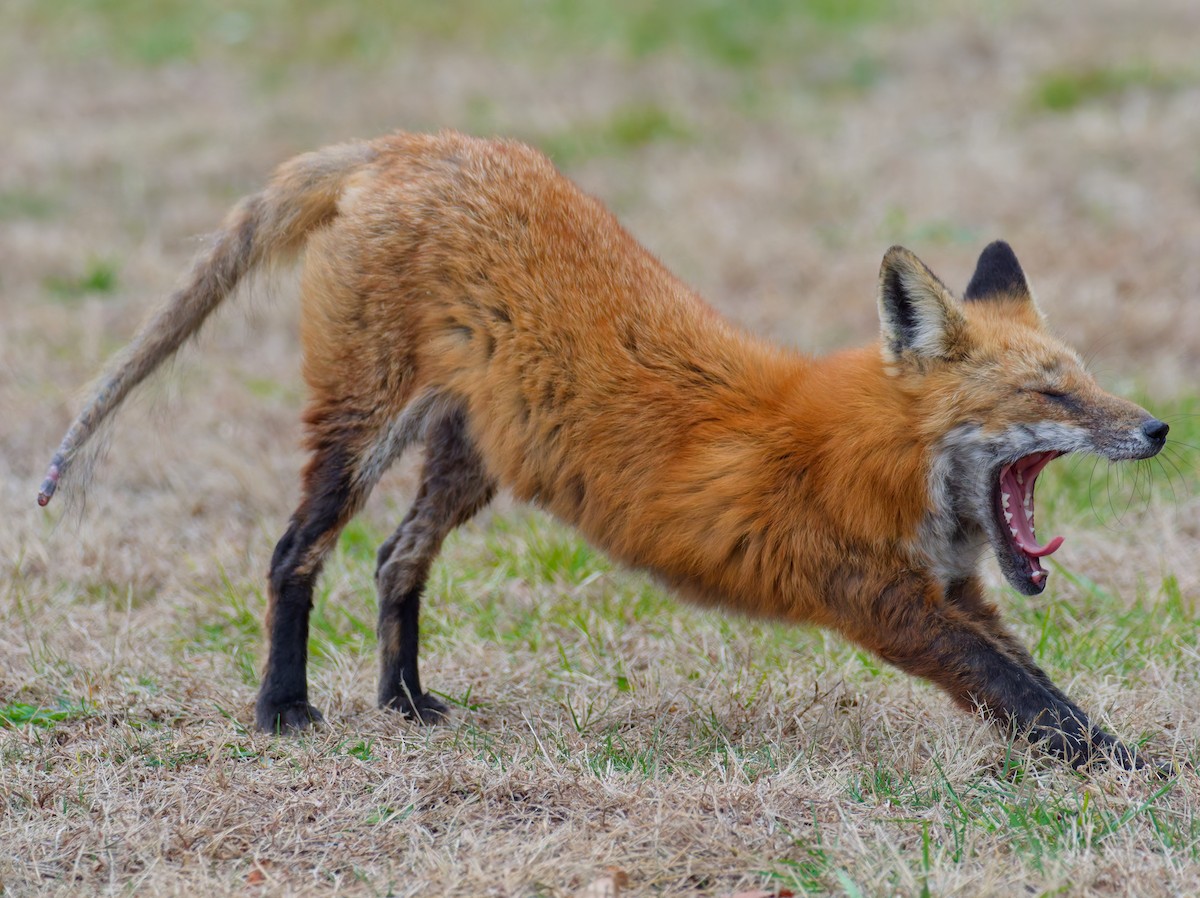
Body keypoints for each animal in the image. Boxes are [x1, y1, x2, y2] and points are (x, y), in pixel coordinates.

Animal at [39, 131, 1170, 770]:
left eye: (1087, 376)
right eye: (1050, 392)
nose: (1159, 429)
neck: (886, 464)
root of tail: (411, 141)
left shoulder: (957, 591)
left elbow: (1040, 684)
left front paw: (1120, 753)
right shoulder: (883, 599)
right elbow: (1026, 700)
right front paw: (1127, 773)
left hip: (472, 459)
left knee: (395, 560)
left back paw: (404, 702)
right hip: (361, 427)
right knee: (294, 555)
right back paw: (283, 707)